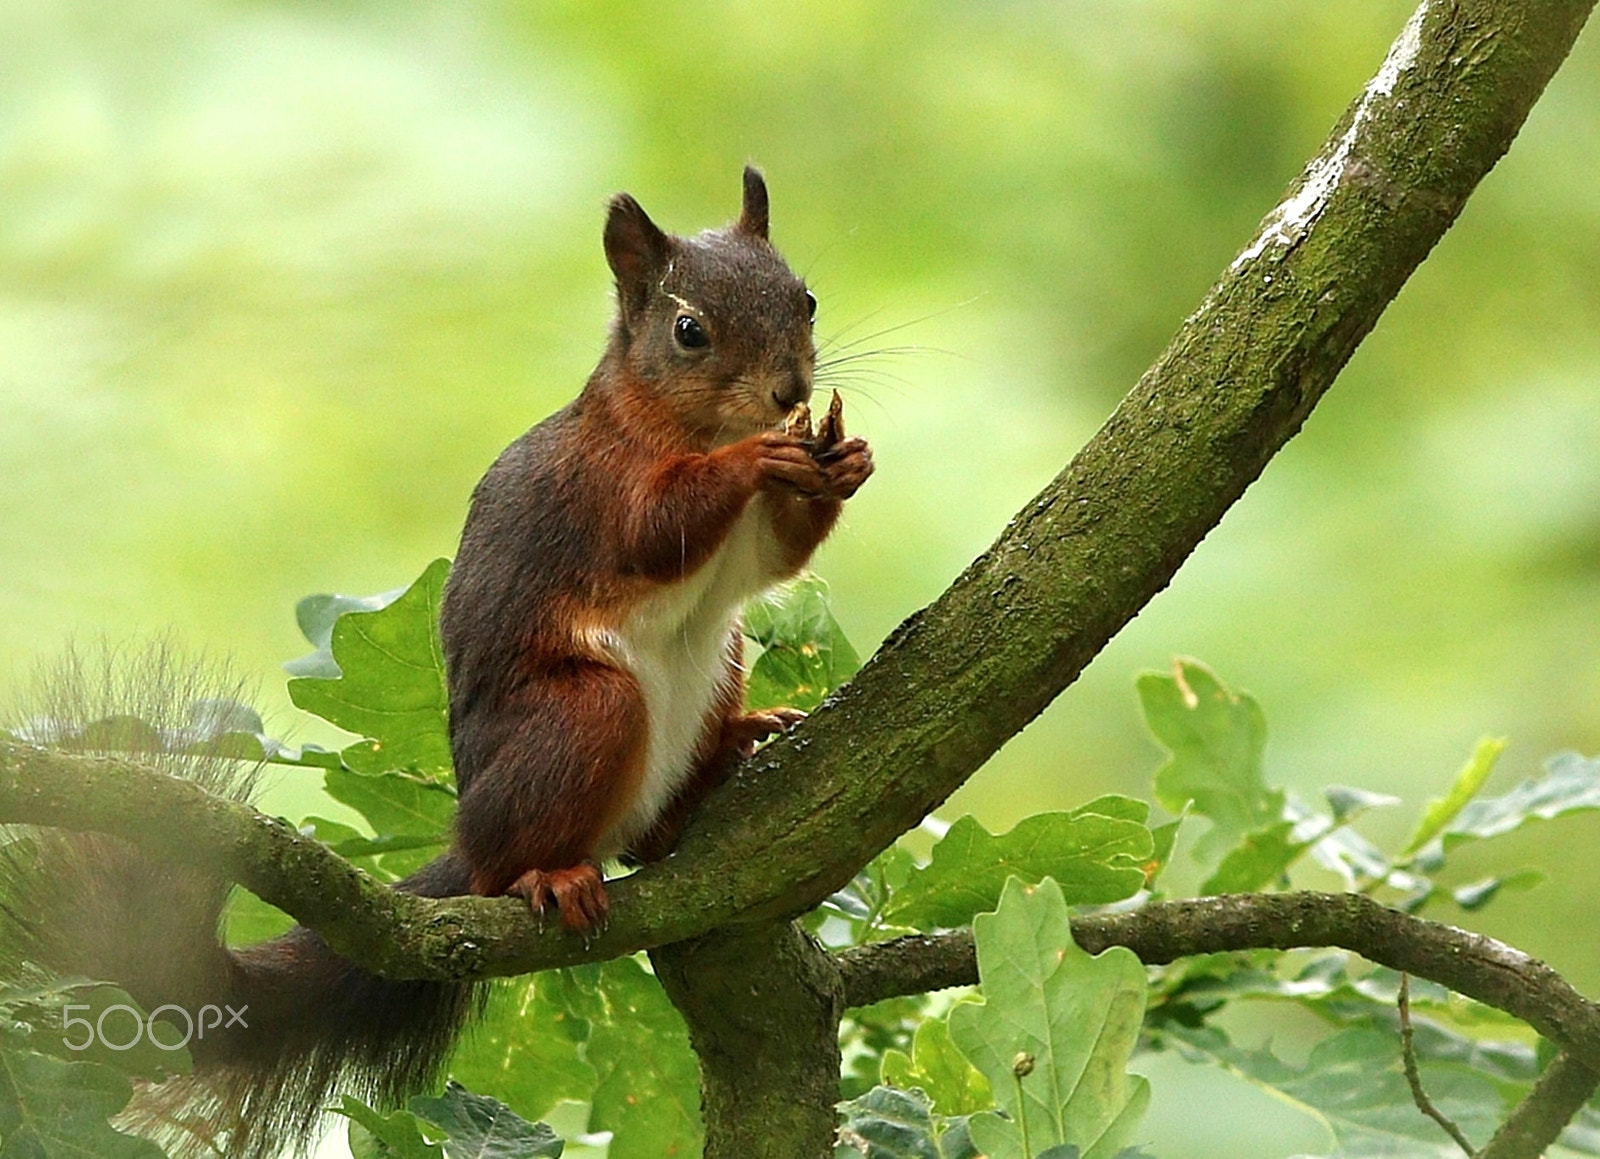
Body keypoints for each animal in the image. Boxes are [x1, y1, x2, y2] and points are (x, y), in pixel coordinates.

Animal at [441, 167, 876, 934]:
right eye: (688, 331)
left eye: (808, 300)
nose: (790, 391)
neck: (700, 425)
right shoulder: (603, 484)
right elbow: (655, 533)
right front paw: (753, 456)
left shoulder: (748, 544)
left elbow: (776, 557)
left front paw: (847, 461)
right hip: (579, 716)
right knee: (500, 865)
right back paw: (544, 874)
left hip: (721, 659)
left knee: (652, 839)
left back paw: (735, 741)